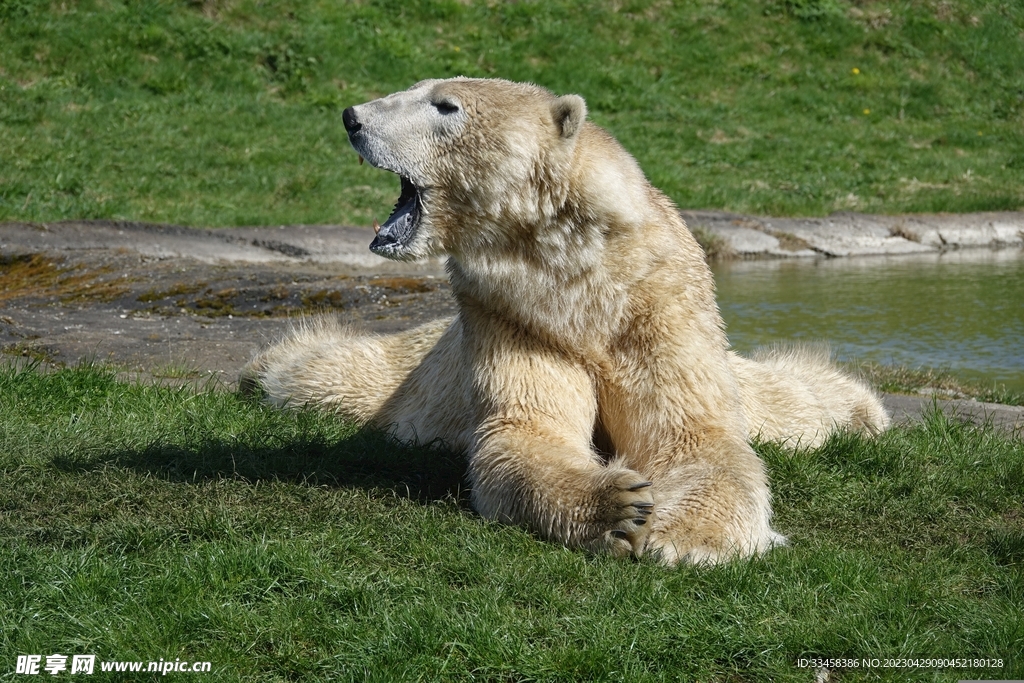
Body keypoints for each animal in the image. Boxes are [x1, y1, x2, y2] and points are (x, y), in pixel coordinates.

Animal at [242, 77, 890, 566]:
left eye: (445, 105)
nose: (352, 117)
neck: (580, 279)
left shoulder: (658, 306)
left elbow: (693, 432)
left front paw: (687, 539)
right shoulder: (510, 314)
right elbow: (527, 427)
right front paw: (619, 508)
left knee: (788, 403)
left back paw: (862, 411)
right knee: (328, 376)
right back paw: (263, 369)